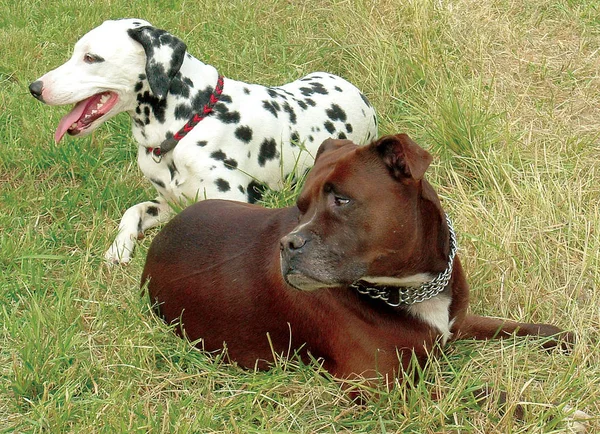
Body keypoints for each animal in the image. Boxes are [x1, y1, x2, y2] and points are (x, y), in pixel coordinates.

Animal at [141, 134, 568, 384]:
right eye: (301, 207)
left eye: (342, 200)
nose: (287, 244)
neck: (413, 287)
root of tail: (164, 232)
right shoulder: (384, 386)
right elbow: (477, 398)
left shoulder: (457, 323)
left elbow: (512, 327)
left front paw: (561, 338)